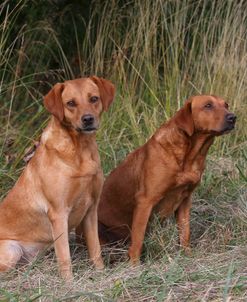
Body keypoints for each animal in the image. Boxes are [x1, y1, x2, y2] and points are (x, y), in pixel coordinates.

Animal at [0, 76, 115, 280]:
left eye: (93, 98)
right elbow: (64, 256)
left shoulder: (91, 210)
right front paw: (69, 283)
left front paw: (101, 273)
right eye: (70, 103)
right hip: (11, 250)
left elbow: (95, 250)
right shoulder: (59, 214)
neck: (80, 150)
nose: (88, 119)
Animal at [97, 95, 236, 264]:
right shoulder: (145, 201)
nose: (233, 117)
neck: (188, 155)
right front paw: (134, 265)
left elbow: (185, 233)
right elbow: (137, 239)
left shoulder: (185, 201)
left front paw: (187, 255)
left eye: (226, 105)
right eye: (208, 105)